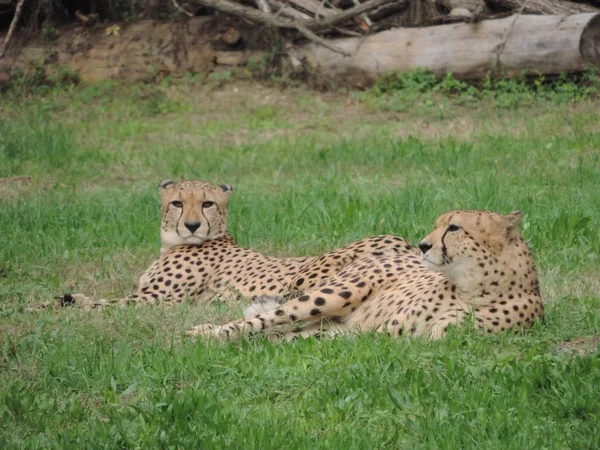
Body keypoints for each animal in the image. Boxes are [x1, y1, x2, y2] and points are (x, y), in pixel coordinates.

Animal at [62, 179, 418, 310]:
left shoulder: (155, 299)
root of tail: (407, 243)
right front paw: (70, 297)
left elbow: (102, 304)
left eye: (207, 203)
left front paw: (58, 304)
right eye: (178, 203)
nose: (192, 225)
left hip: (310, 274)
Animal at [186, 209, 544, 340]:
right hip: (331, 295)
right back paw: (203, 333)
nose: (423, 245)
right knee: (268, 318)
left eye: (453, 227)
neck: (474, 287)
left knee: (283, 334)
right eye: (439, 223)